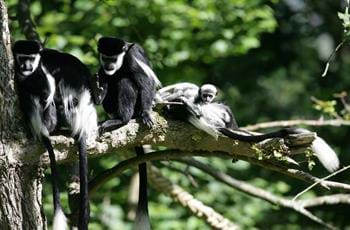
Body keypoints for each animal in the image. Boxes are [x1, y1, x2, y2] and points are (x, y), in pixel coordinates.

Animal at [12, 40, 97, 230]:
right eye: (22, 58)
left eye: (30, 59)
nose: (26, 67)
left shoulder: (42, 71)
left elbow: (46, 89)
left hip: (59, 113)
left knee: (54, 101)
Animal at [96, 36, 161, 229]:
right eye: (105, 57)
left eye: (113, 58)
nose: (108, 65)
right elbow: (102, 78)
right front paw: (98, 91)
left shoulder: (132, 60)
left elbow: (145, 82)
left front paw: (146, 114)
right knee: (110, 80)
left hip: (135, 105)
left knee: (126, 81)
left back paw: (122, 119)